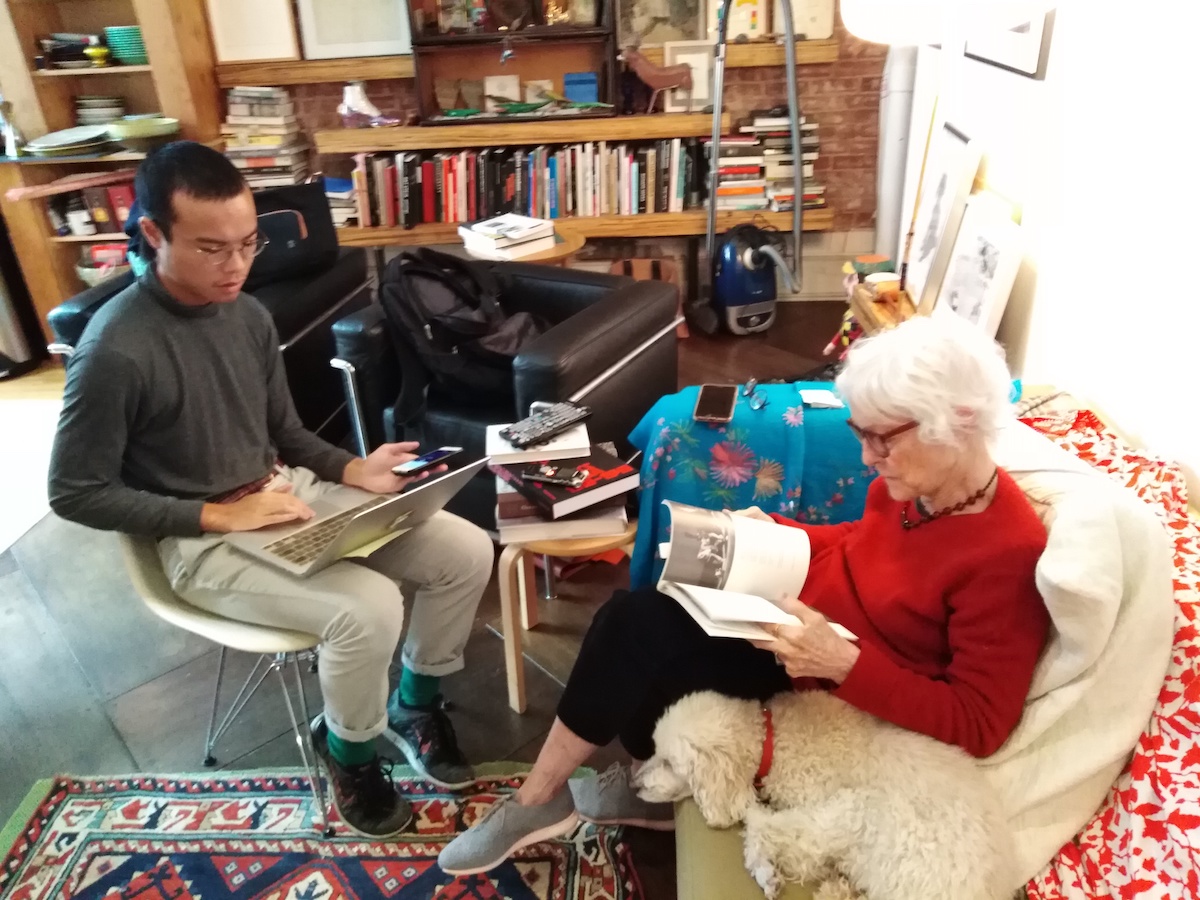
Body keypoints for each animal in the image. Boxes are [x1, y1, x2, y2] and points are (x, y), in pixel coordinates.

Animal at [633, 696, 1017, 897]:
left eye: (668, 763)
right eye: (655, 751)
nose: (634, 784)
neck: (772, 740)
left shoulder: (817, 818)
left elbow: (760, 827)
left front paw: (765, 870)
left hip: (872, 819)